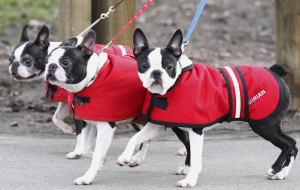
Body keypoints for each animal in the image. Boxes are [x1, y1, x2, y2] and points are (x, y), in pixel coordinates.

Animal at [7, 24, 95, 159]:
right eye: (9, 59)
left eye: (27, 61)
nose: (14, 65)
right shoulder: (67, 99)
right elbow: (56, 117)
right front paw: (68, 129)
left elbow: (81, 132)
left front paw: (79, 151)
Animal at [117, 28, 298, 187]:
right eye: (144, 66)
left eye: (168, 67)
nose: (156, 73)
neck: (175, 85)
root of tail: (273, 70)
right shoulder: (158, 126)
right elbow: (135, 138)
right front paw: (125, 157)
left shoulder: (195, 130)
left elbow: (196, 158)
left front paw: (190, 181)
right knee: (293, 147)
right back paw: (281, 174)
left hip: (263, 124)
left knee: (290, 144)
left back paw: (275, 169)